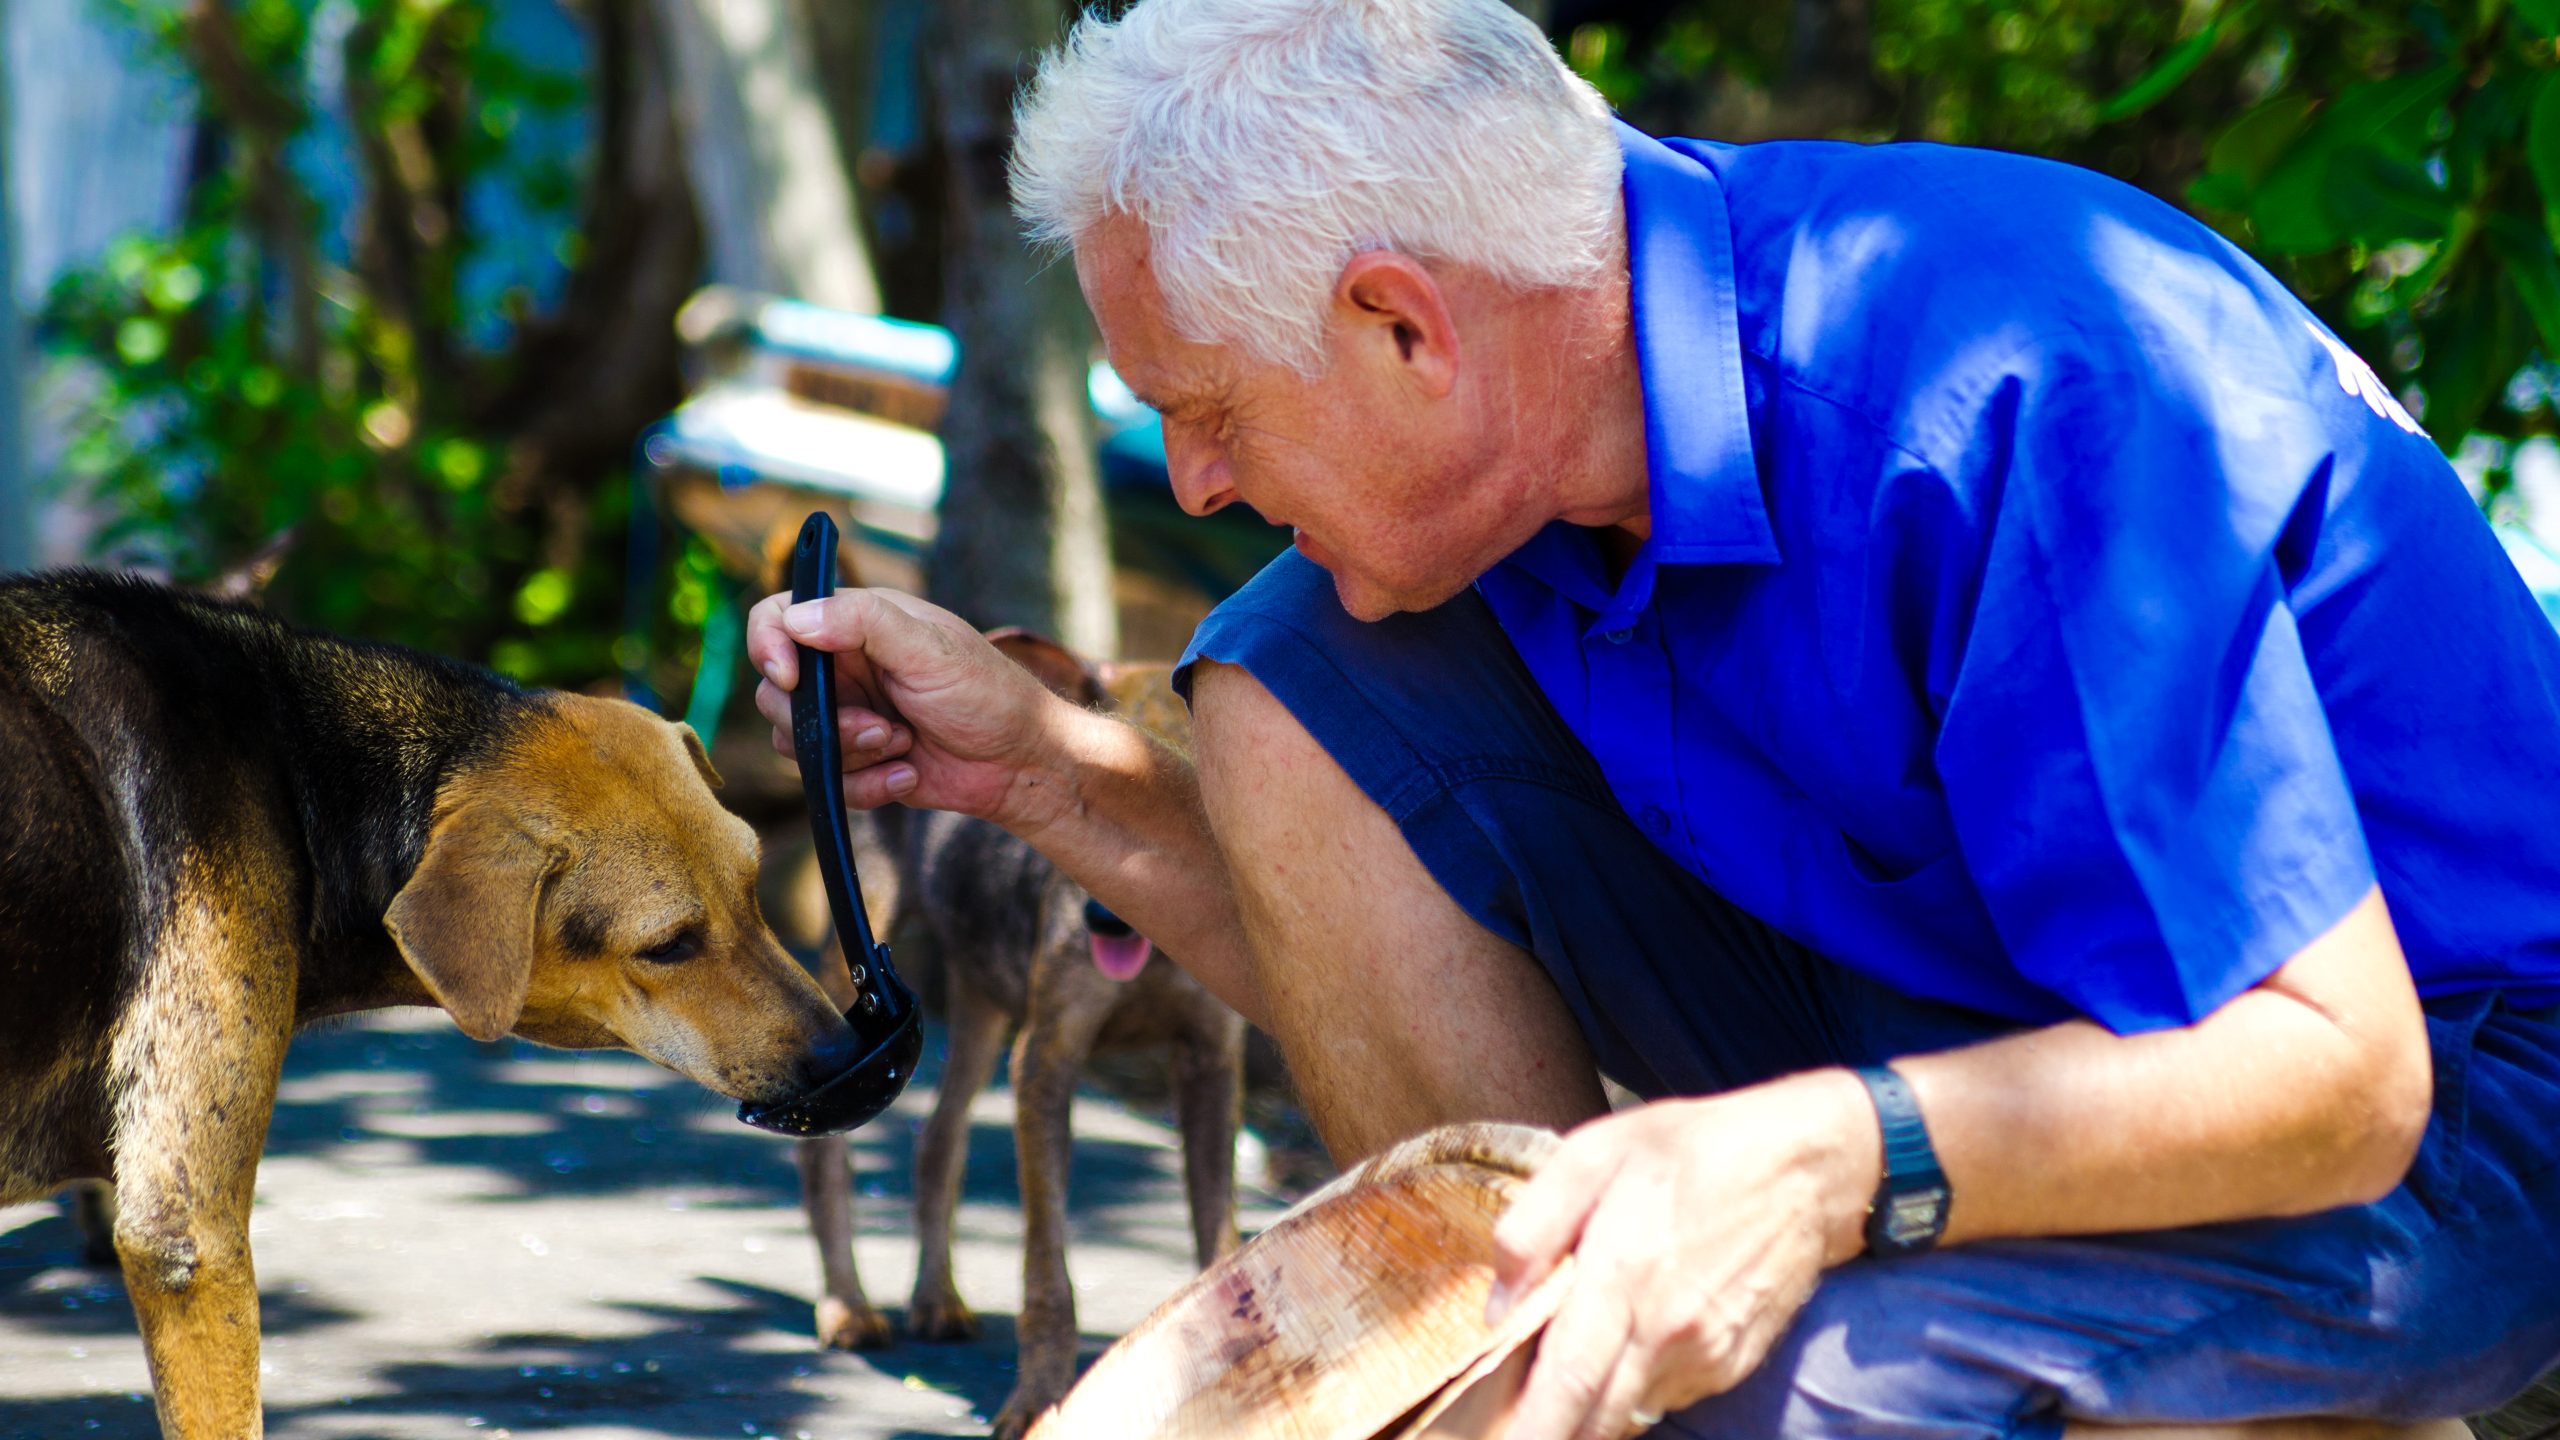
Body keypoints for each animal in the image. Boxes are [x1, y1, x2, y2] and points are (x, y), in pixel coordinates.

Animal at [788, 632, 1249, 1434]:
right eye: (1109, 783)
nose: (1104, 920)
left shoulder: (1212, 1064)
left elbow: (1217, 1236)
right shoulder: (1047, 1059)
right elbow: (1047, 1269)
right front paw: (1038, 1401)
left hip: (982, 999)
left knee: (937, 1139)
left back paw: (935, 1299)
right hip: (865, 940)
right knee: (828, 1154)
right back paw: (847, 1307)